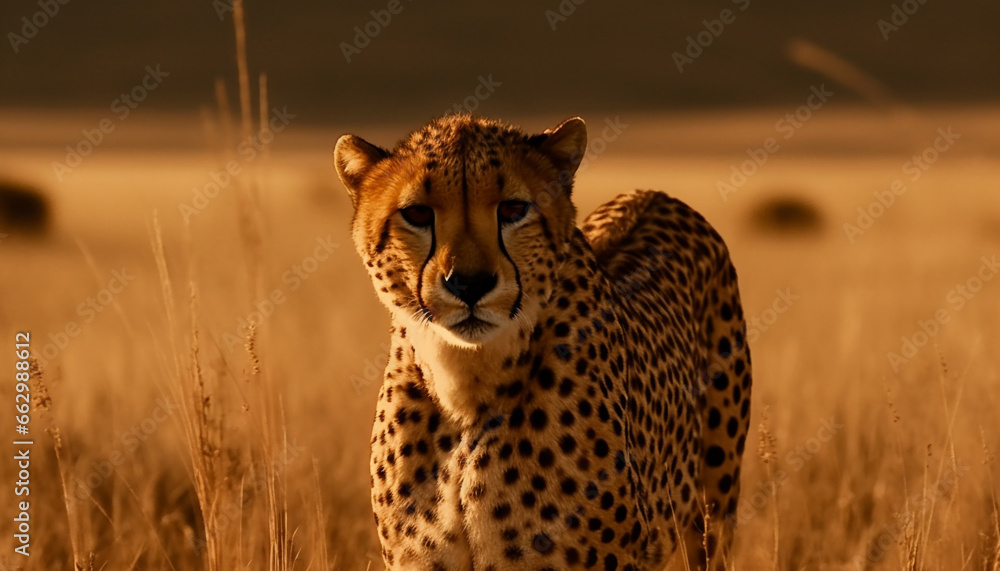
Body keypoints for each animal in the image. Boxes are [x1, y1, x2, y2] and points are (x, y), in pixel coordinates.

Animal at [334, 114, 752, 568]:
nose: (469, 283)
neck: (466, 387)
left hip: (714, 517)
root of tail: (653, 194)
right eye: (416, 213)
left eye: (513, 209)